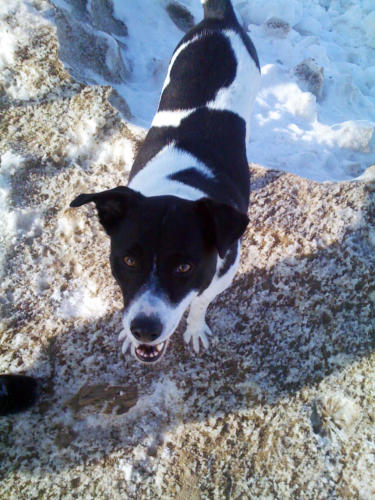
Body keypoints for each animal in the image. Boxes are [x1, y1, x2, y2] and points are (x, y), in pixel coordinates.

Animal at [72, 0, 262, 368]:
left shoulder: (224, 272)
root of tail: (218, 19)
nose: (144, 330)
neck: (176, 186)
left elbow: (200, 301)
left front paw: (195, 328)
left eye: (184, 267)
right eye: (129, 260)